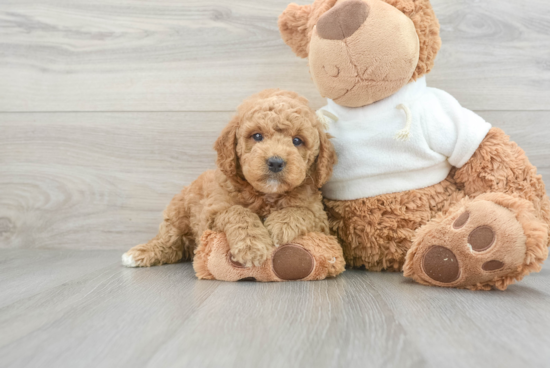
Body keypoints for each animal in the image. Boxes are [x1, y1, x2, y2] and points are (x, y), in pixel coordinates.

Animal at [122, 89, 336, 268]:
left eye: (297, 140)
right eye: (257, 136)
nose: (275, 162)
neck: (266, 195)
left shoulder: (320, 218)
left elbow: (302, 211)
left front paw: (279, 226)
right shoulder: (212, 212)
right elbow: (238, 212)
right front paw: (252, 246)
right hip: (177, 213)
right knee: (169, 242)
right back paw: (139, 254)